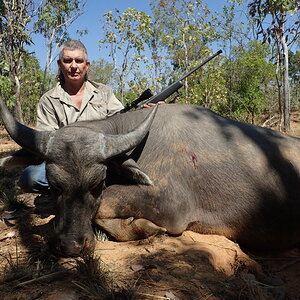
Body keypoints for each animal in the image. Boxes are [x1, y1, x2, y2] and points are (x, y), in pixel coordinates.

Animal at [0, 97, 300, 256]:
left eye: (96, 185)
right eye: (54, 185)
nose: (70, 246)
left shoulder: (170, 206)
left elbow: (105, 205)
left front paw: (145, 227)